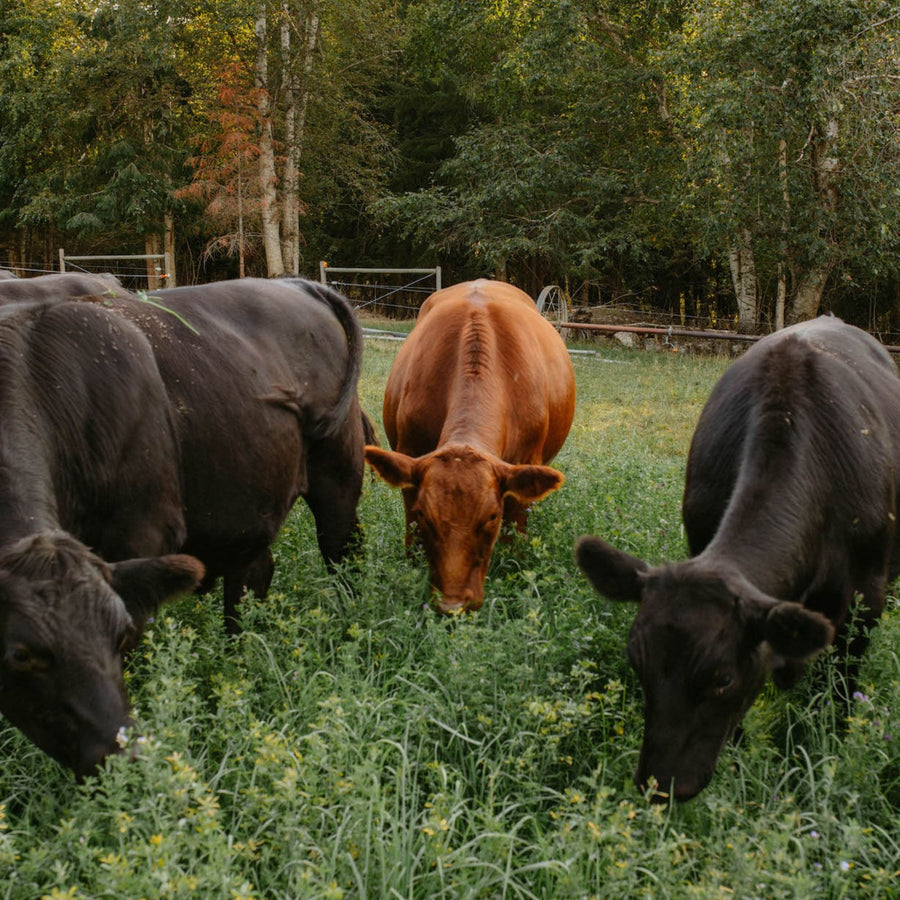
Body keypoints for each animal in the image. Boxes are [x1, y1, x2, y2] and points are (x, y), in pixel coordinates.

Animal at [365, 279, 576, 614]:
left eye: (491, 516)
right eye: (425, 515)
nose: (453, 604)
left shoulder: (524, 464)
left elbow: (515, 538)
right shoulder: (409, 455)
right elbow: (412, 534)